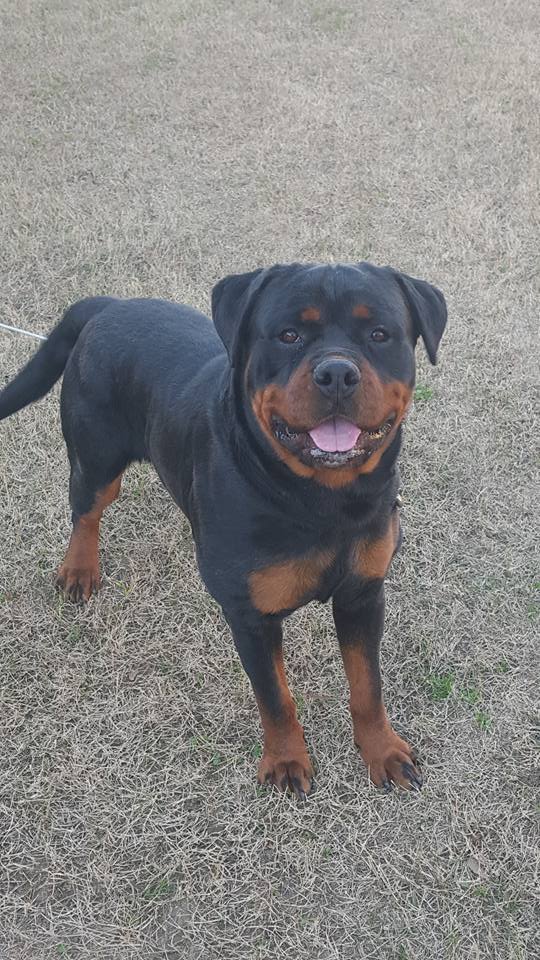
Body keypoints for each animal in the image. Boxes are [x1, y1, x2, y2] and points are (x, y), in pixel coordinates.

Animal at [0, 260, 448, 796]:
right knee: (87, 510)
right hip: (97, 457)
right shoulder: (249, 615)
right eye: (289, 335)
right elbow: (275, 696)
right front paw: (286, 760)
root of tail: (109, 304)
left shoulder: (363, 593)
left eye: (380, 334)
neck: (323, 499)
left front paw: (382, 751)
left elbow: (368, 684)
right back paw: (79, 569)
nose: (337, 373)